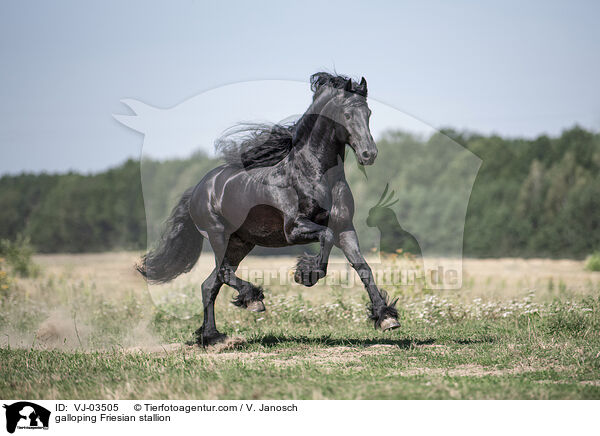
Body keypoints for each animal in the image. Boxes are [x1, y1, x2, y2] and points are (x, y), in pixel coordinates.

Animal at [136, 73, 398, 346]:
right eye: (347, 114)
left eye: (368, 112)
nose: (369, 154)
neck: (316, 175)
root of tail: (198, 189)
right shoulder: (294, 229)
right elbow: (325, 238)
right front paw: (307, 274)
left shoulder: (345, 229)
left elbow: (363, 267)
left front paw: (386, 317)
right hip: (218, 236)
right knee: (223, 274)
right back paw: (253, 300)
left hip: (240, 244)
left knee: (210, 284)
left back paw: (212, 337)